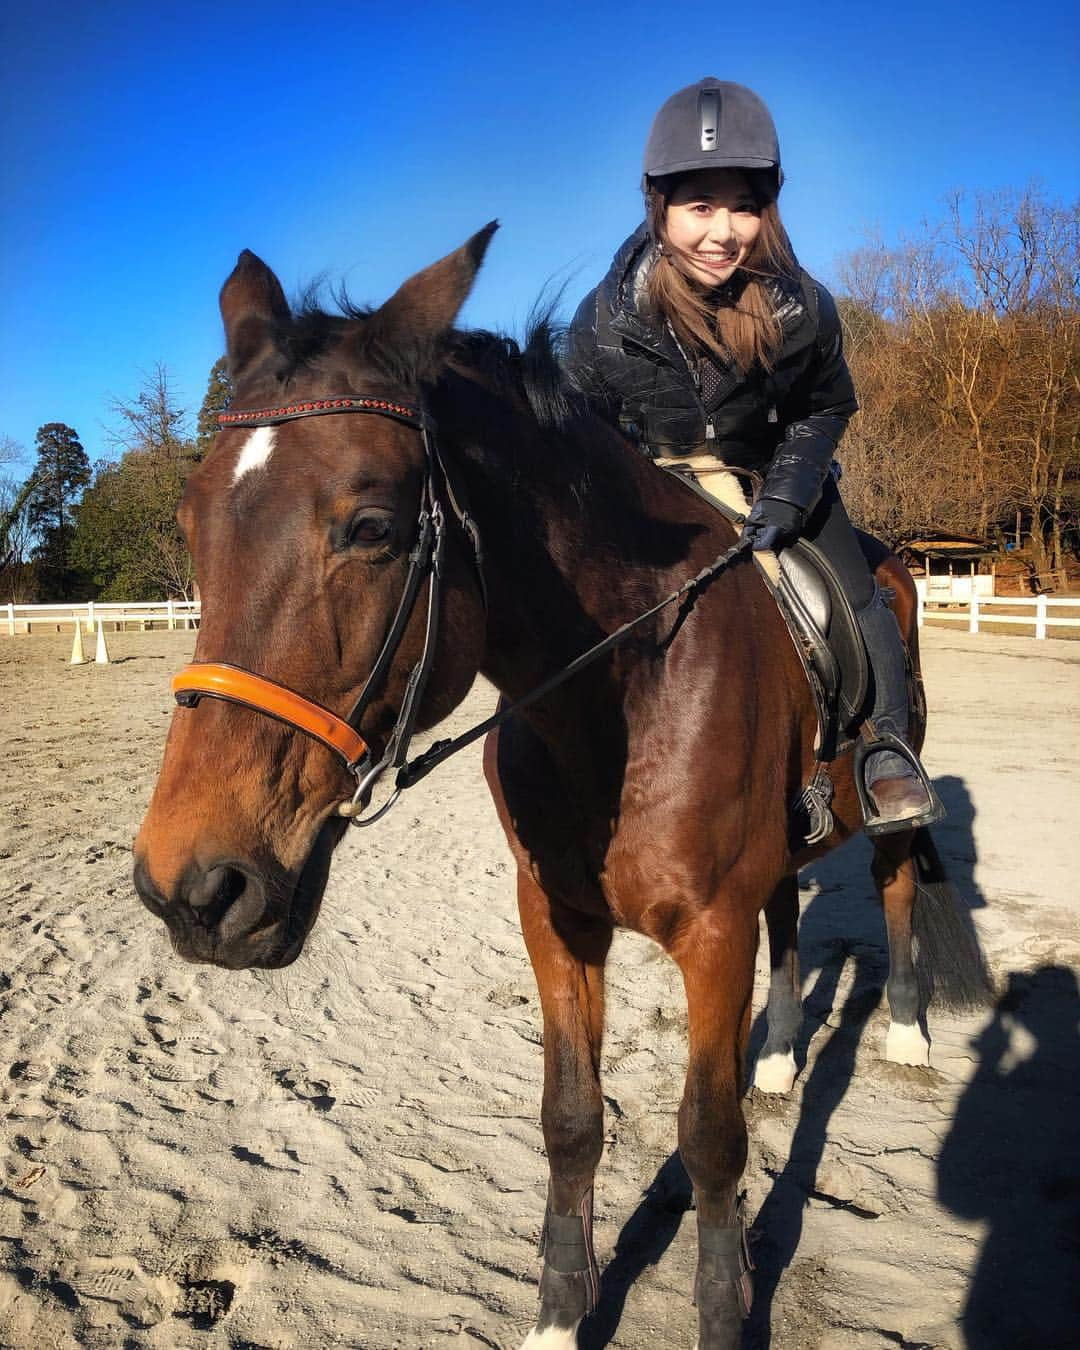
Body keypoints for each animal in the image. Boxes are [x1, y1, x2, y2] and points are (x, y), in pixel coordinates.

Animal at [132, 226, 988, 1344]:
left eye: (371, 528)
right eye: (192, 524)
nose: (192, 890)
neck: (618, 694)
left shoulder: (710, 933)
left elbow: (709, 1138)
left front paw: (723, 1310)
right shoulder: (556, 920)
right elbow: (571, 1119)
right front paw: (559, 1310)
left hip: (883, 809)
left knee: (890, 890)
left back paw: (910, 1038)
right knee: (789, 920)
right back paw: (780, 1055)